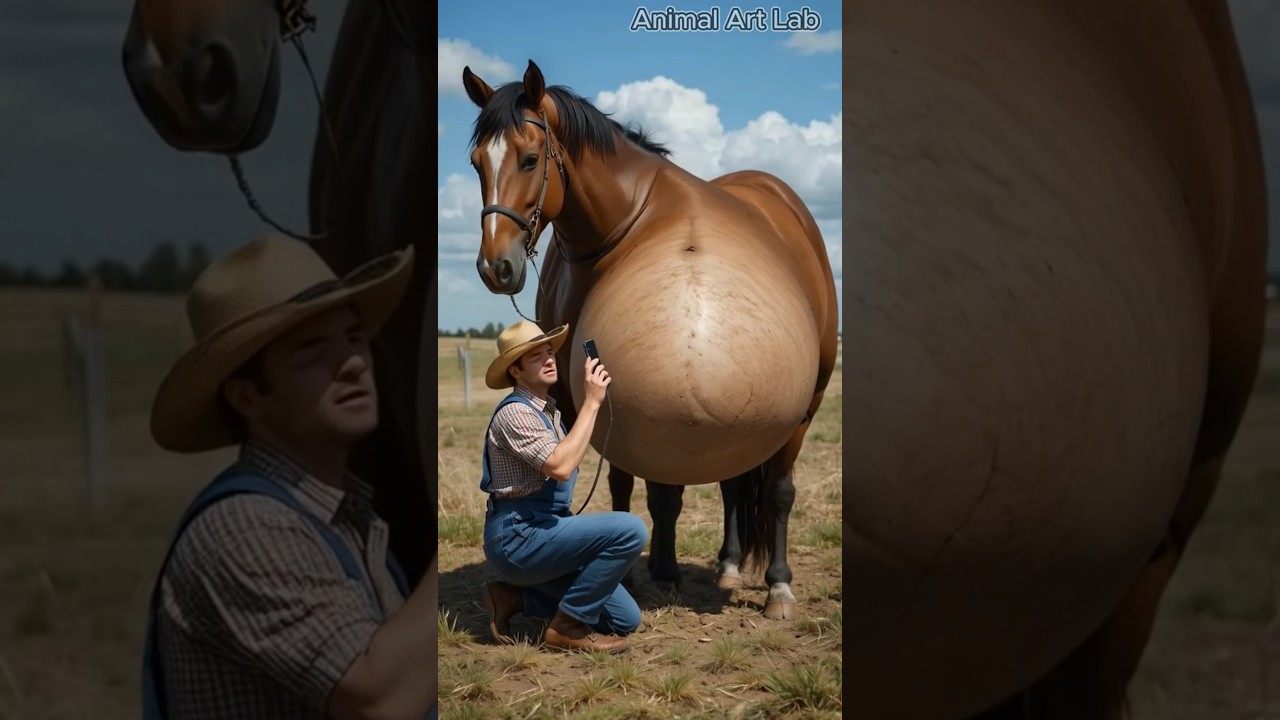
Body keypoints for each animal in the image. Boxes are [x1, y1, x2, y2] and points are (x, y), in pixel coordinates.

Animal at [460, 60, 841, 621]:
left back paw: (775, 584)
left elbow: (680, 493)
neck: (625, 223)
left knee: (775, 490)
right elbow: (626, 484)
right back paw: (728, 564)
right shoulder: (581, 401)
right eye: (475, 164)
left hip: (806, 404)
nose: (495, 266)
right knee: (733, 484)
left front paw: (667, 572)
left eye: (530, 159)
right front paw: (645, 573)